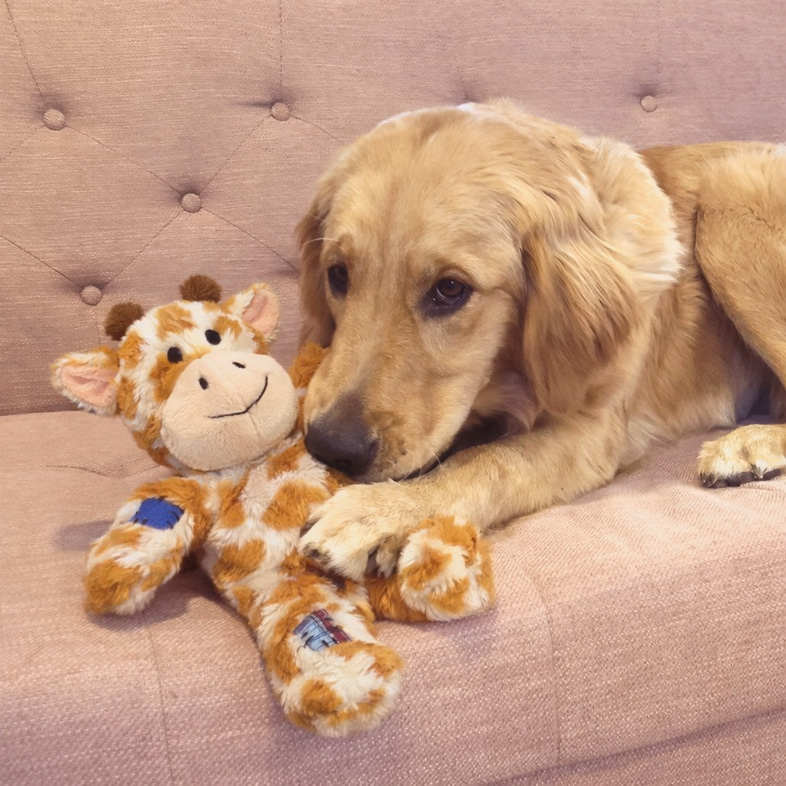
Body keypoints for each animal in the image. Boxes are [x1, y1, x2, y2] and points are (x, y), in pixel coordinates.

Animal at [295, 99, 786, 581]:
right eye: (337, 274)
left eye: (450, 289)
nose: (331, 447)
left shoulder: (592, 430)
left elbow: (490, 461)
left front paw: (384, 511)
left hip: (728, 204)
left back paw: (746, 445)